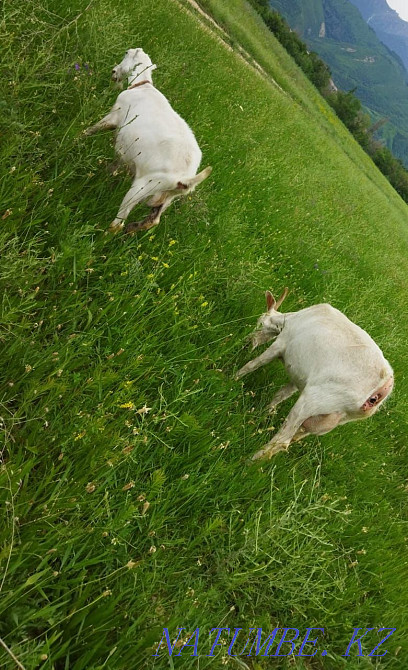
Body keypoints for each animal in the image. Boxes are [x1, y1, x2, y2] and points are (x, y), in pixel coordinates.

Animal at [85, 48, 211, 232]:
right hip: (166, 198)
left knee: (119, 222)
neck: (142, 86)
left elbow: (93, 129)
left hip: (144, 186)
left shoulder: (114, 116)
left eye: (127, 53)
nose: (113, 72)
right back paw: (132, 229)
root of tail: (185, 179)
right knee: (153, 221)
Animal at [236, 289, 394, 460]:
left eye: (259, 322)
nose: (246, 341)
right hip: (334, 418)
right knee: (296, 435)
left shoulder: (281, 343)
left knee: (282, 440)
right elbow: (281, 394)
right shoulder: (299, 377)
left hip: (316, 399)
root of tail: (382, 389)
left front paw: (233, 378)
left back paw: (249, 461)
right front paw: (265, 412)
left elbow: (253, 364)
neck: (290, 319)